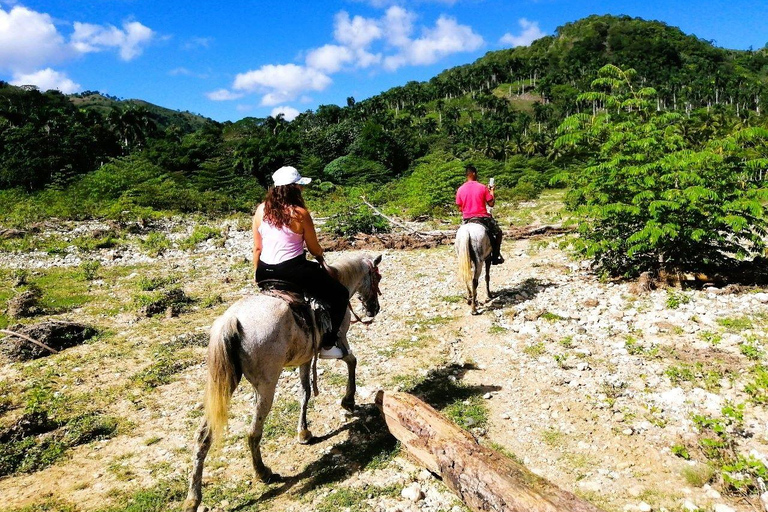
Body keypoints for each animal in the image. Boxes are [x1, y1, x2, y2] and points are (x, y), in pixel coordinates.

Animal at [183, 253, 380, 512]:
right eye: (377, 277)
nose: (374, 308)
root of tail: (232, 320)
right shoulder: (340, 340)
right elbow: (351, 361)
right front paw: (348, 401)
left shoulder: (306, 358)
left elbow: (305, 392)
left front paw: (304, 432)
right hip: (266, 386)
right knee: (253, 432)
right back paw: (263, 473)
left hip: (224, 385)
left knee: (203, 436)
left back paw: (193, 498)